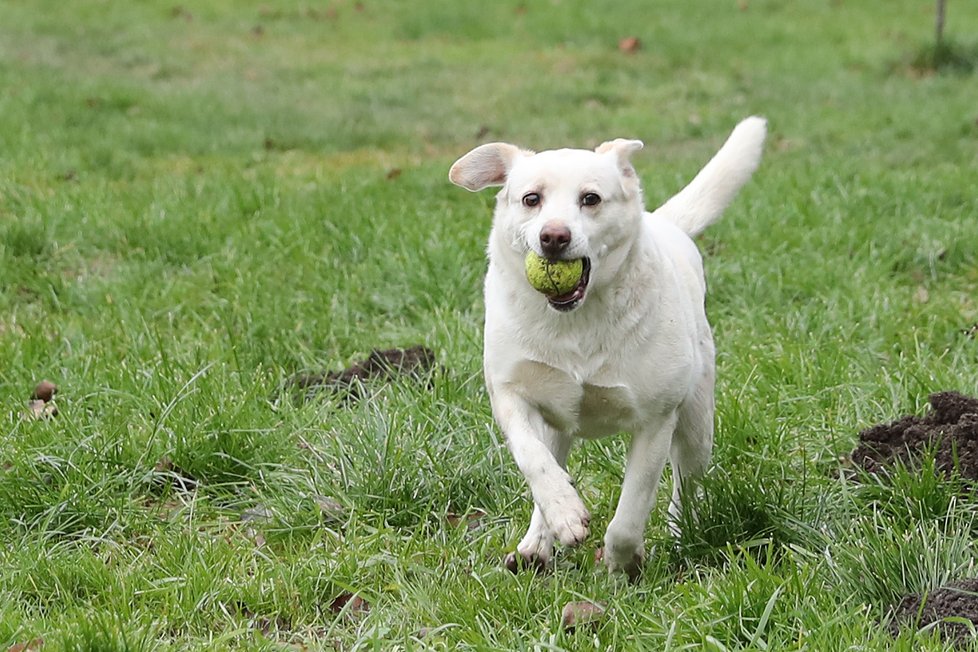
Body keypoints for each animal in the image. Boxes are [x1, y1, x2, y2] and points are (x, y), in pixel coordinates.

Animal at [448, 116, 764, 576]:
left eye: (591, 198)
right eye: (531, 199)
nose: (554, 236)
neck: (574, 321)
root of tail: (665, 223)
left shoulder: (656, 421)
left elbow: (631, 511)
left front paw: (622, 563)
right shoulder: (510, 395)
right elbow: (532, 458)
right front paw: (563, 513)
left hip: (696, 424)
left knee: (687, 483)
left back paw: (681, 533)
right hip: (558, 422)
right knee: (552, 459)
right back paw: (537, 544)